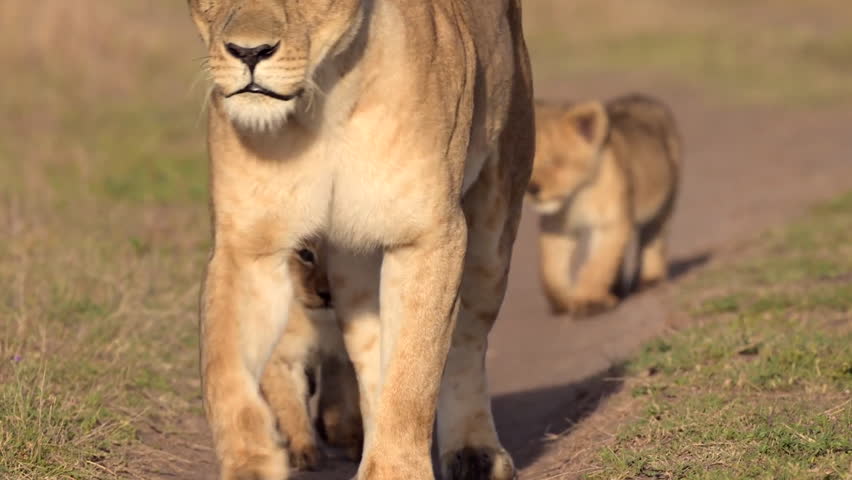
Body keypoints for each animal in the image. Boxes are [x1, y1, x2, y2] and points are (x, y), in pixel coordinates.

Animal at [186, 1, 535, 479]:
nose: (249, 52)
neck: (322, 106)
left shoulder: (427, 235)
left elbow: (414, 371)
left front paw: (397, 471)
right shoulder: (247, 247)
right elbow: (224, 370)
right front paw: (253, 463)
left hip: (494, 228)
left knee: (467, 340)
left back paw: (475, 453)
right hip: (353, 268)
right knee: (370, 362)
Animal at [526, 94, 682, 316]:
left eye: (556, 161)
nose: (532, 189)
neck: (578, 195)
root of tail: (641, 97)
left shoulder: (611, 224)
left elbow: (597, 264)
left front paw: (588, 301)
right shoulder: (557, 229)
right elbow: (551, 268)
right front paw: (562, 301)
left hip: (664, 205)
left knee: (653, 238)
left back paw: (648, 280)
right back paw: (615, 289)